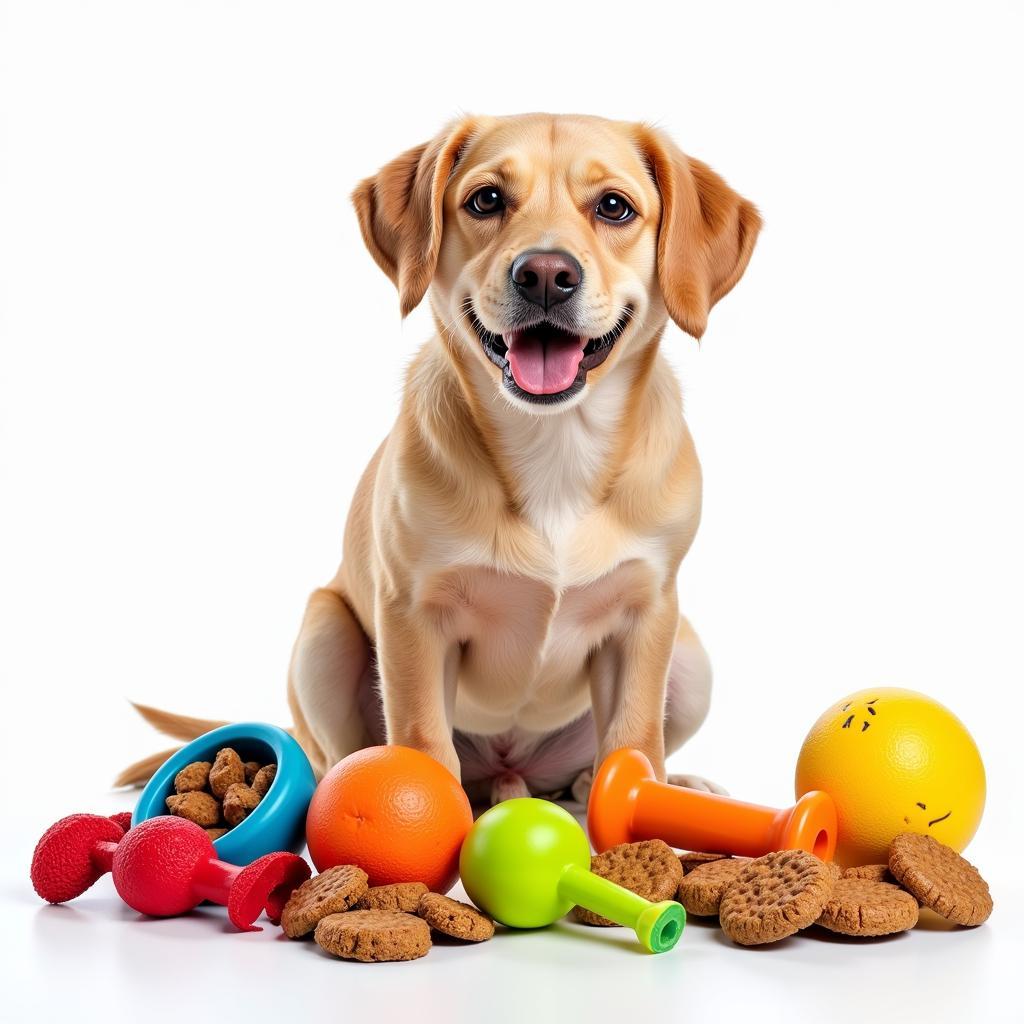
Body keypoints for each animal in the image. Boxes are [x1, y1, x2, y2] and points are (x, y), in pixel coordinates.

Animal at [119, 114, 761, 806]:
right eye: (487, 199)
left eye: (614, 207)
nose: (544, 274)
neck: (554, 445)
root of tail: (510, 773)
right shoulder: (413, 615)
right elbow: (424, 739)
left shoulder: (645, 616)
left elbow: (635, 739)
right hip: (324, 633)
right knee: (335, 754)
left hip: (690, 661)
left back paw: (660, 784)